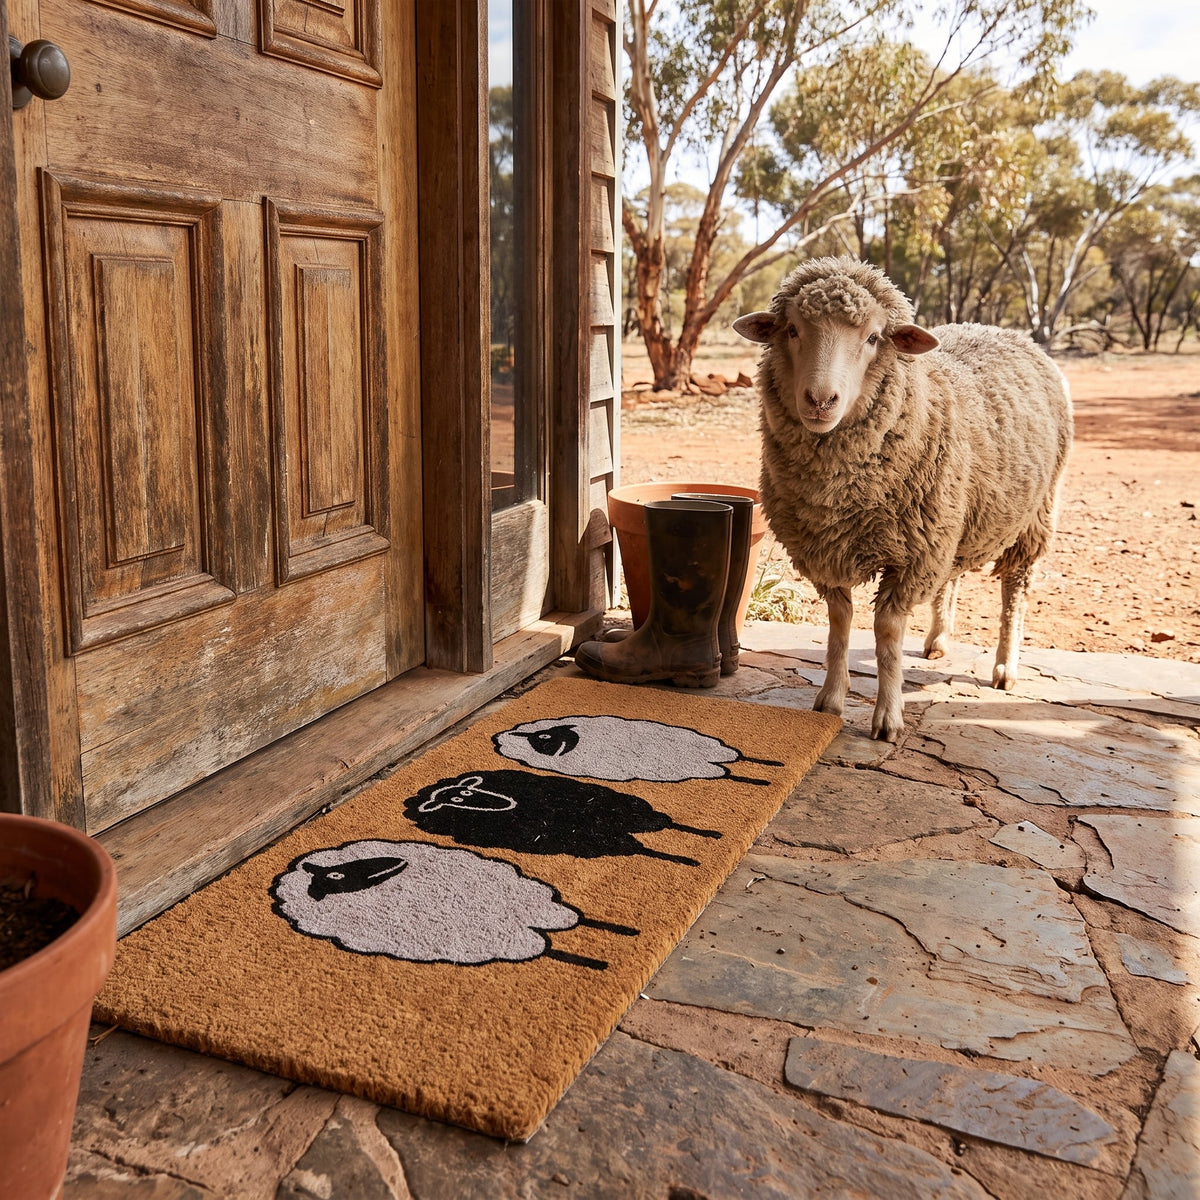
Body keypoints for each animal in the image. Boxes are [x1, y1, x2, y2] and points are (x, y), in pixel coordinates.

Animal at [733, 256, 1072, 742]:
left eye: (874, 337)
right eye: (792, 330)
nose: (820, 400)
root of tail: (1005, 331)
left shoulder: (912, 556)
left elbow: (888, 635)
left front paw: (888, 717)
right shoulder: (826, 549)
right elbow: (839, 624)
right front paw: (830, 699)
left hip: (1032, 515)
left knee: (1015, 590)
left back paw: (1006, 666)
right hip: (951, 517)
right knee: (952, 578)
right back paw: (938, 640)